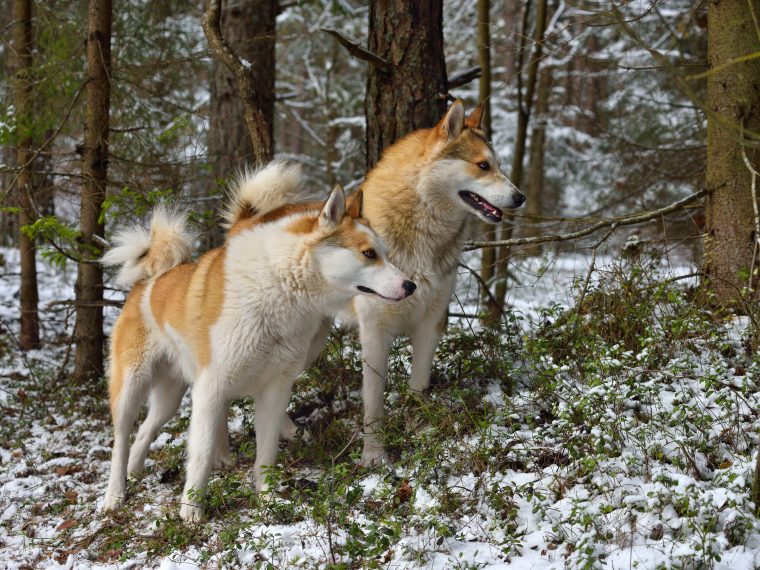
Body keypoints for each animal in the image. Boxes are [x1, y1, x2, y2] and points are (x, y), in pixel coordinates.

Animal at [101, 160, 416, 520]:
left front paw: (267, 501)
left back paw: (137, 470)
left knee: (145, 430)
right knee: (121, 440)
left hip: (172, 395)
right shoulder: (211, 388)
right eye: (368, 253)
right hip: (132, 386)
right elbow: (200, 455)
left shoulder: (275, 389)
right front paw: (192, 510)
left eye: (385, 254)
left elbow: (266, 453)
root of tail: (148, 281)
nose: (410, 286)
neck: (280, 285)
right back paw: (115, 494)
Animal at [348, 97, 524, 462]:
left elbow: (418, 386)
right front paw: (373, 456)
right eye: (483, 165)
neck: (423, 234)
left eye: (499, 166)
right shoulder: (374, 332)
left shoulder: (432, 322)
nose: (520, 197)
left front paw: (418, 428)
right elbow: (373, 403)